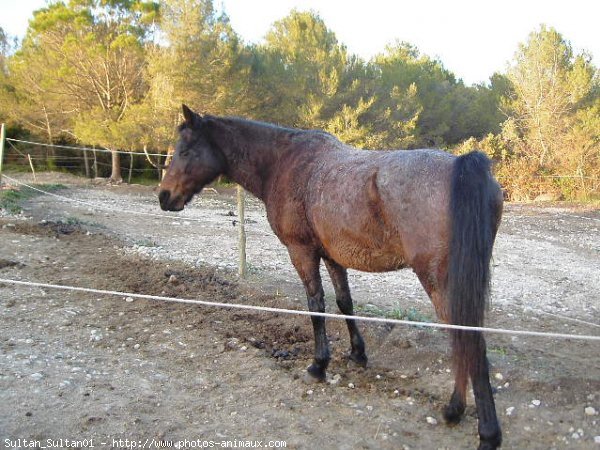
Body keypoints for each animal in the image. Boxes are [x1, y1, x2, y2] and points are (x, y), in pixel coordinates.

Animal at [158, 105, 502, 450]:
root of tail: (461, 166)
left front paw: (318, 365)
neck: (283, 162)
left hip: (438, 281)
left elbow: (316, 306)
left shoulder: (302, 252)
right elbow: (344, 302)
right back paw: (456, 410)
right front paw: (357, 354)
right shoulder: (333, 256)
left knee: (468, 339)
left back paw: (480, 427)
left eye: (185, 150)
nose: (163, 196)